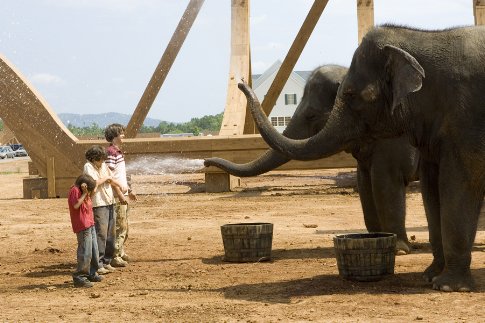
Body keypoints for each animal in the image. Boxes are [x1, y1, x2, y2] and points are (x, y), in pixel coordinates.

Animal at [202, 64, 418, 254]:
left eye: (311, 116)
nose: (205, 161)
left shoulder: (393, 139)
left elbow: (385, 183)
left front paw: (399, 249)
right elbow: (364, 185)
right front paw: (378, 238)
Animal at [240, 24, 484, 292]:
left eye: (350, 95)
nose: (241, 83)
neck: (428, 37)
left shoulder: (461, 122)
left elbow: (405, 185)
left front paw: (445, 284)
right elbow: (386, 187)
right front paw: (427, 276)